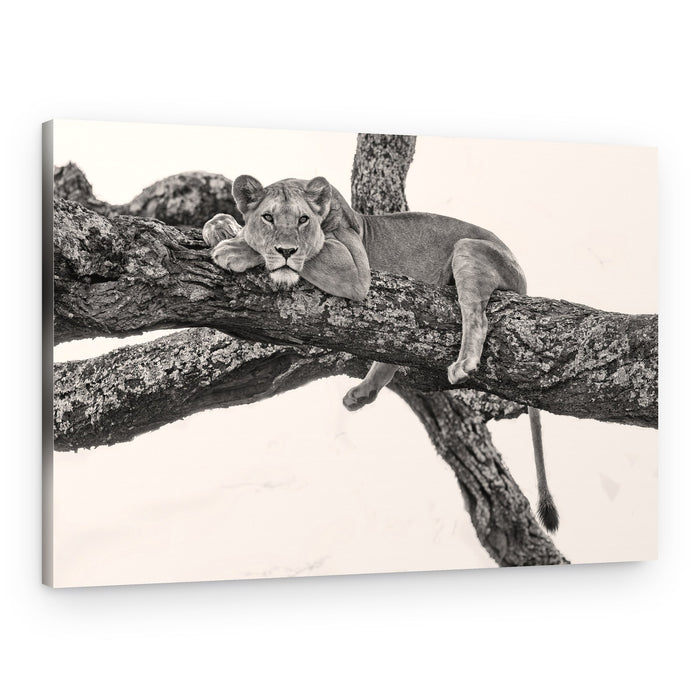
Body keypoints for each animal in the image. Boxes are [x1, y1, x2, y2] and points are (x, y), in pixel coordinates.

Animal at [204, 175, 559, 532]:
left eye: (303, 219)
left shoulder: (355, 269)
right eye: (268, 217)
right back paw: (361, 394)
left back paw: (463, 364)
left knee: (476, 315)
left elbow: (309, 251)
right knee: (391, 357)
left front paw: (238, 249)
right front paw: (220, 226)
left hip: (468, 249)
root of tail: (520, 270)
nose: (285, 249)